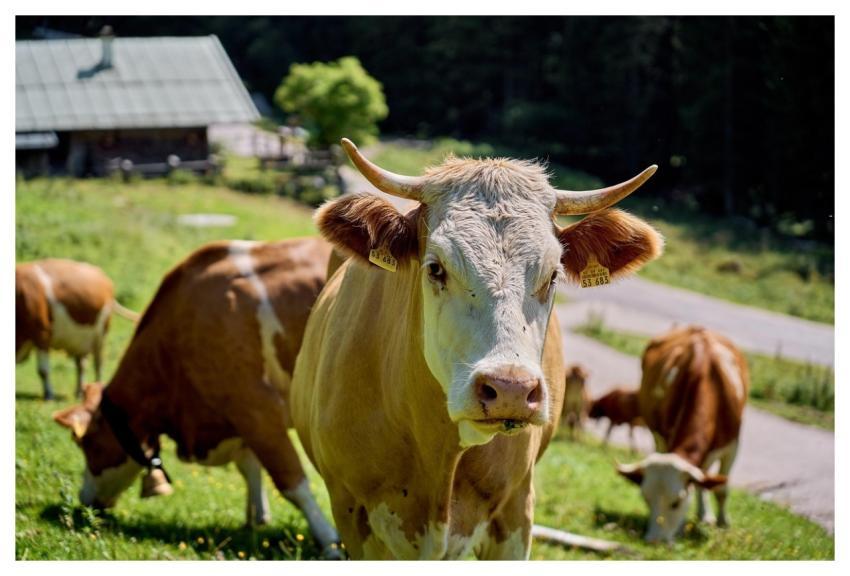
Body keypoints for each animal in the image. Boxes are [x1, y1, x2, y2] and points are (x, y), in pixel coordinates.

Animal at [16, 258, 139, 400]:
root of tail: (103, 277)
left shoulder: (42, 333)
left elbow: (43, 370)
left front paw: (49, 394)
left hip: (100, 335)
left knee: (98, 363)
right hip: (79, 339)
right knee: (81, 365)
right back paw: (79, 391)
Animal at [52, 237, 342, 558]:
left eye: (88, 444)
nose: (84, 500)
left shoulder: (257, 409)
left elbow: (292, 483)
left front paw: (330, 542)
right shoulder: (238, 419)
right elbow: (249, 467)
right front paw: (256, 519)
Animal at [616, 326, 749, 543]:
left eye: (676, 502)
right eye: (646, 499)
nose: (654, 541)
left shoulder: (732, 446)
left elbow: (720, 489)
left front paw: (723, 522)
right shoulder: (664, 436)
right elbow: (698, 483)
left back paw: (707, 515)